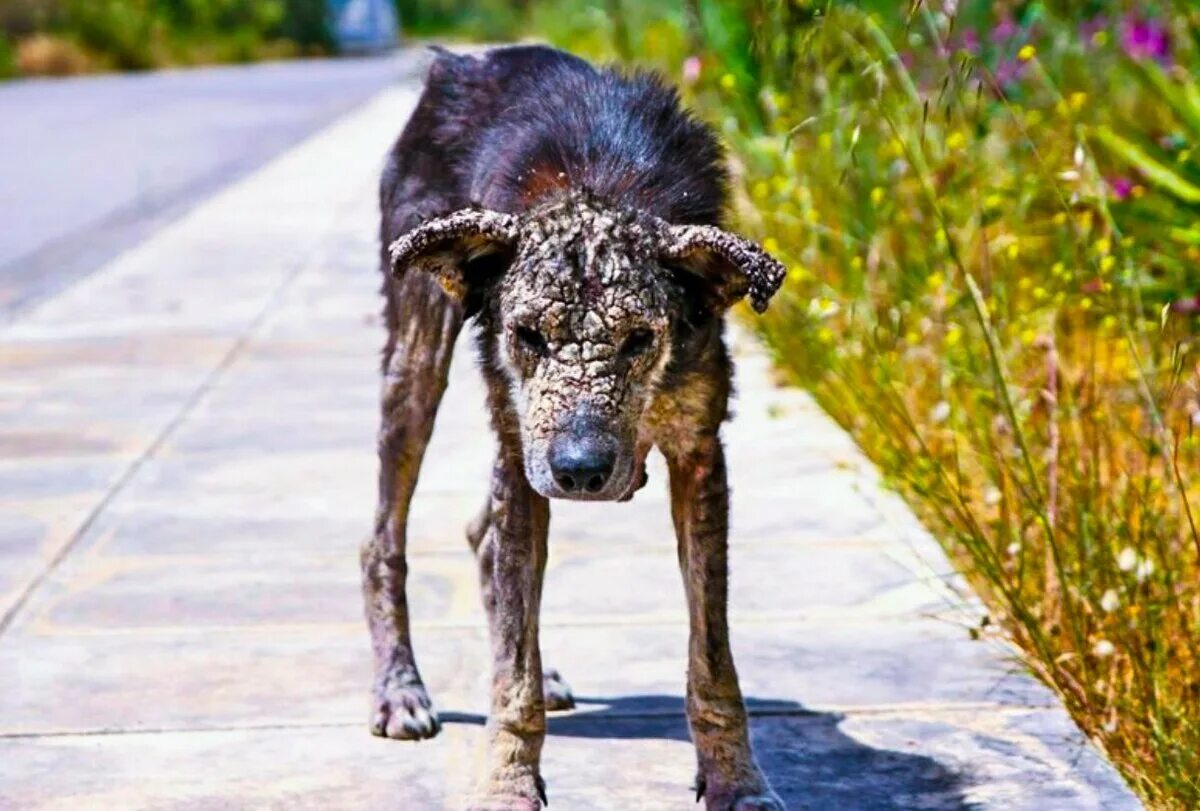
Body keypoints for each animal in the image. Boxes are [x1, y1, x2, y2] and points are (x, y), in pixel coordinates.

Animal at [360, 45, 792, 811]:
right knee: (383, 537)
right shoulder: (521, 448)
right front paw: (506, 783)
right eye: (528, 334)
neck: (599, 184)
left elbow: (712, 658)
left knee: (482, 539)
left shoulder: (699, 453)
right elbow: (513, 678)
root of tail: (459, 61)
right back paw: (400, 689)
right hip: (419, 358)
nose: (581, 470)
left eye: (639, 338)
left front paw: (737, 781)